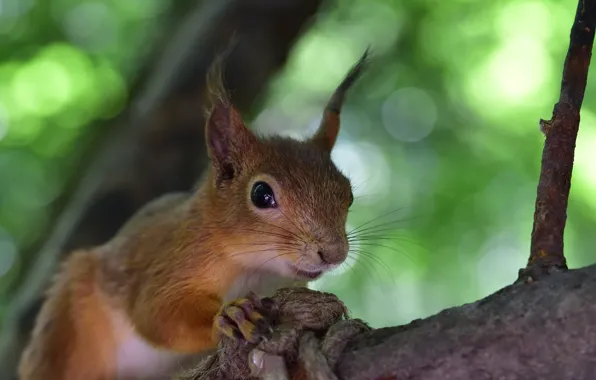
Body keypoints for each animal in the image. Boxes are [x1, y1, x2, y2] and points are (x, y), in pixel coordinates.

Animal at [17, 51, 368, 380]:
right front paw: (232, 316)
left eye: (348, 193)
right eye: (261, 194)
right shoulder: (174, 259)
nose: (334, 253)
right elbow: (156, 312)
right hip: (66, 330)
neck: (254, 266)